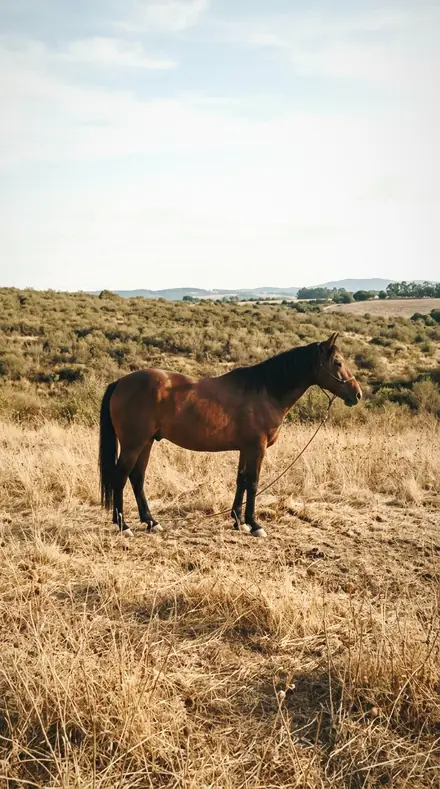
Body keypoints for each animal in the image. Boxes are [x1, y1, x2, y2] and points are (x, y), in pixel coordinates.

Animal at [99, 332, 362, 538]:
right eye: (337, 362)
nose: (357, 394)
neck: (265, 391)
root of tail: (121, 382)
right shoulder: (257, 448)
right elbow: (253, 483)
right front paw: (255, 525)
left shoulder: (246, 448)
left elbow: (241, 481)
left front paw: (238, 521)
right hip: (133, 444)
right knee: (121, 477)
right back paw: (124, 525)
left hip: (146, 443)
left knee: (137, 477)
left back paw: (151, 522)